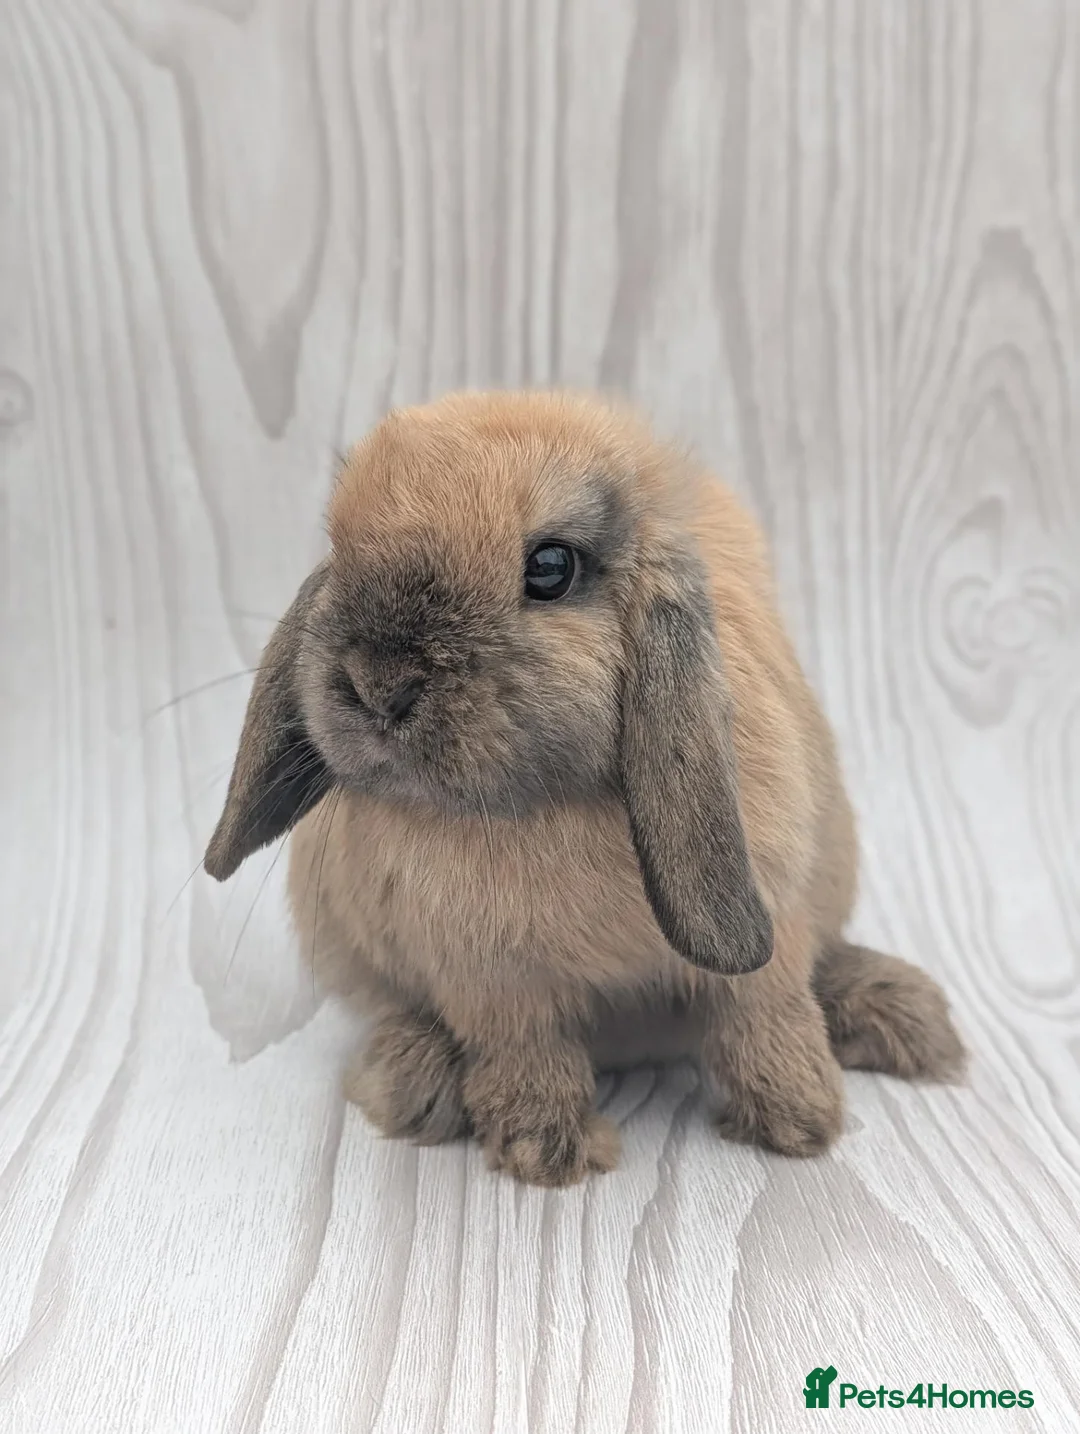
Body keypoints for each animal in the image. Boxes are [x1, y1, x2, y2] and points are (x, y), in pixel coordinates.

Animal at [204, 390, 967, 1187]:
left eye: (550, 567)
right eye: (339, 551)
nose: (379, 684)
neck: (537, 805)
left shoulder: (774, 919)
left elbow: (765, 1011)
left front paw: (803, 1120)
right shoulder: (487, 977)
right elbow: (526, 1053)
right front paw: (546, 1149)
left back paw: (901, 1015)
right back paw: (410, 1077)